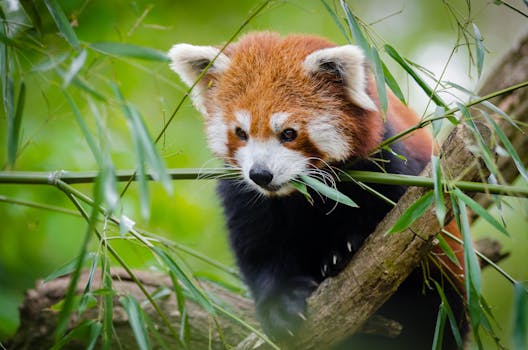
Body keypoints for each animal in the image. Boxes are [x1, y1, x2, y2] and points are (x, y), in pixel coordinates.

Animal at [168, 32, 466, 348]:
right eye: (241, 133)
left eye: (288, 133)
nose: (260, 174)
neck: (300, 194)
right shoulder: (245, 196)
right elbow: (258, 249)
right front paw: (281, 304)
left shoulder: (390, 165)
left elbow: (398, 227)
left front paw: (344, 248)